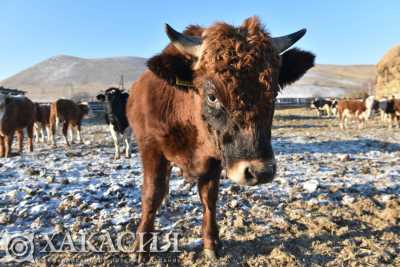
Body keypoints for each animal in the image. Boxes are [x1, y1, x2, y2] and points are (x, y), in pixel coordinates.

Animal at [126, 17, 314, 260]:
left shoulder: (215, 160)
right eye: (212, 96)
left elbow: (209, 198)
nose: (260, 172)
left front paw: (211, 243)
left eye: (273, 94)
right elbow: (151, 194)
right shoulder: (151, 148)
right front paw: (141, 246)